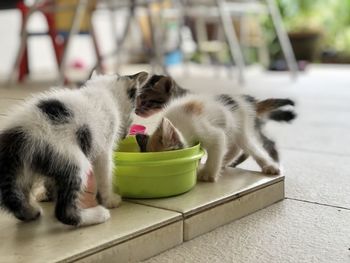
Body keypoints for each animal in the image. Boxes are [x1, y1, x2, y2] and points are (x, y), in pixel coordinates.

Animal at [0, 71, 149, 227]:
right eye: (134, 109)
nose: (126, 134)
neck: (103, 91)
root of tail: (22, 135)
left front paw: (48, 193)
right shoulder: (103, 148)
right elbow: (105, 174)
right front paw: (109, 200)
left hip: (24, 167)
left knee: (15, 197)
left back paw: (31, 211)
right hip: (71, 157)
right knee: (64, 212)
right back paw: (97, 215)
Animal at [136, 94, 296, 183]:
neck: (179, 124)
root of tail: (245, 100)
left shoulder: (208, 131)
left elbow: (217, 144)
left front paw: (208, 174)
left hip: (240, 127)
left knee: (249, 147)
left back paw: (270, 166)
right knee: (234, 147)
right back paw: (224, 163)